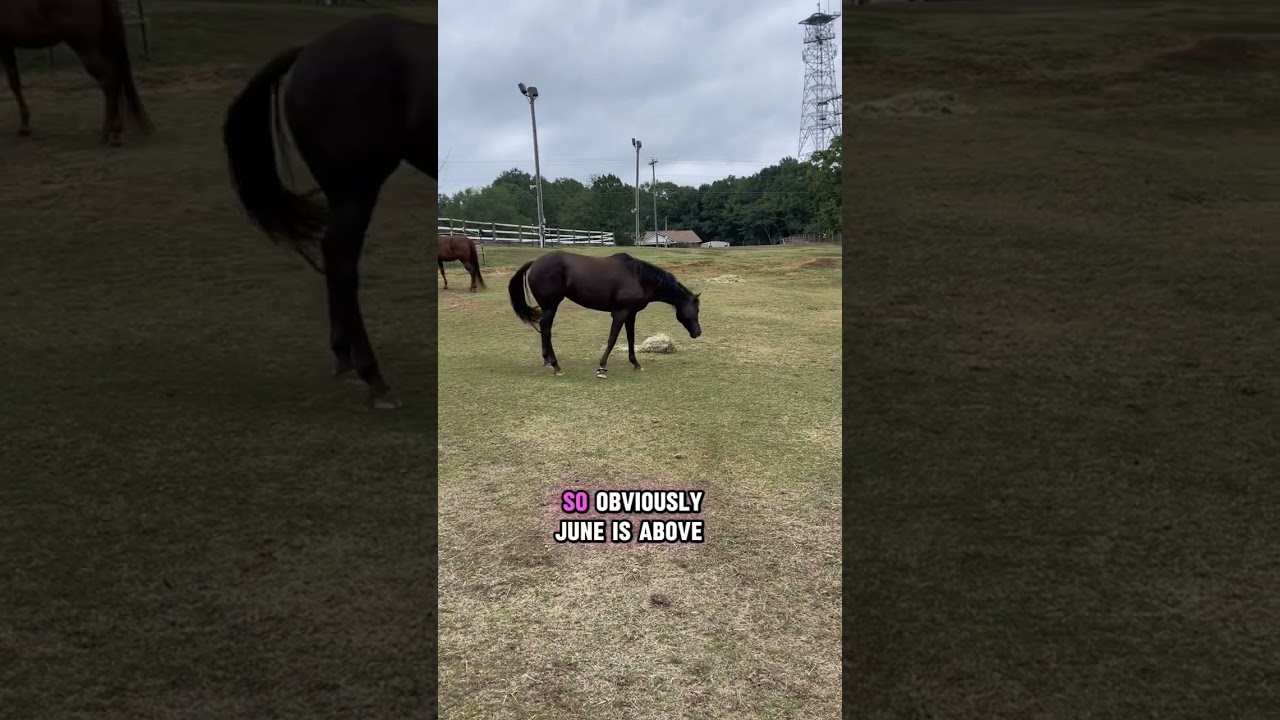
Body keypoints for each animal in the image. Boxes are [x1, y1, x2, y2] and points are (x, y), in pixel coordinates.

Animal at [0, 0, 153, 144]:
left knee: (108, 81)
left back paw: (108, 134)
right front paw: (25, 127)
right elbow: (14, 82)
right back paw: (115, 131)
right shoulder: (6, 44)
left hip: (86, 49)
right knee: (115, 79)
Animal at [507, 251, 702, 378]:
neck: (639, 278)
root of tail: (535, 263)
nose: (697, 333)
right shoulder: (620, 313)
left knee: (543, 328)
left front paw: (635, 363)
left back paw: (547, 360)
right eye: (696, 310)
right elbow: (612, 338)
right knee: (546, 329)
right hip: (550, 306)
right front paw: (602, 367)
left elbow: (630, 338)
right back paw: (556, 366)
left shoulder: (631, 314)